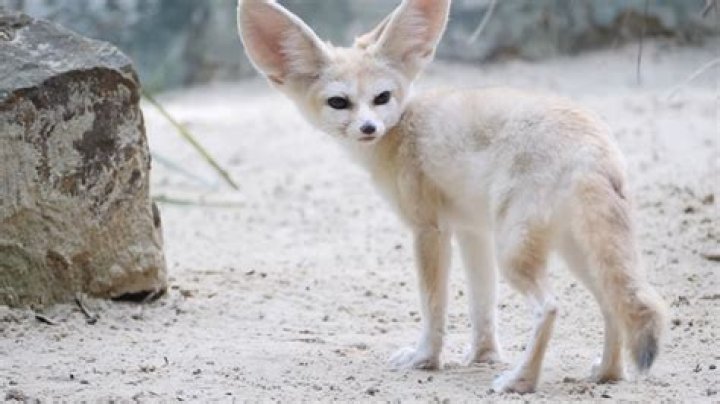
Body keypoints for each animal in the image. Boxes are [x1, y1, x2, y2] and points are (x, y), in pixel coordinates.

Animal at [236, 0, 666, 393]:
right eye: (339, 102)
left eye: (381, 97)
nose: (369, 128)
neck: (401, 131)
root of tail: (593, 143)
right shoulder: (472, 232)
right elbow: (482, 305)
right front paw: (482, 355)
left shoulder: (429, 230)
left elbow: (434, 307)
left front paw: (426, 358)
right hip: (573, 250)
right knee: (614, 304)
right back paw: (607, 373)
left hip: (516, 253)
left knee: (550, 307)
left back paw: (521, 381)